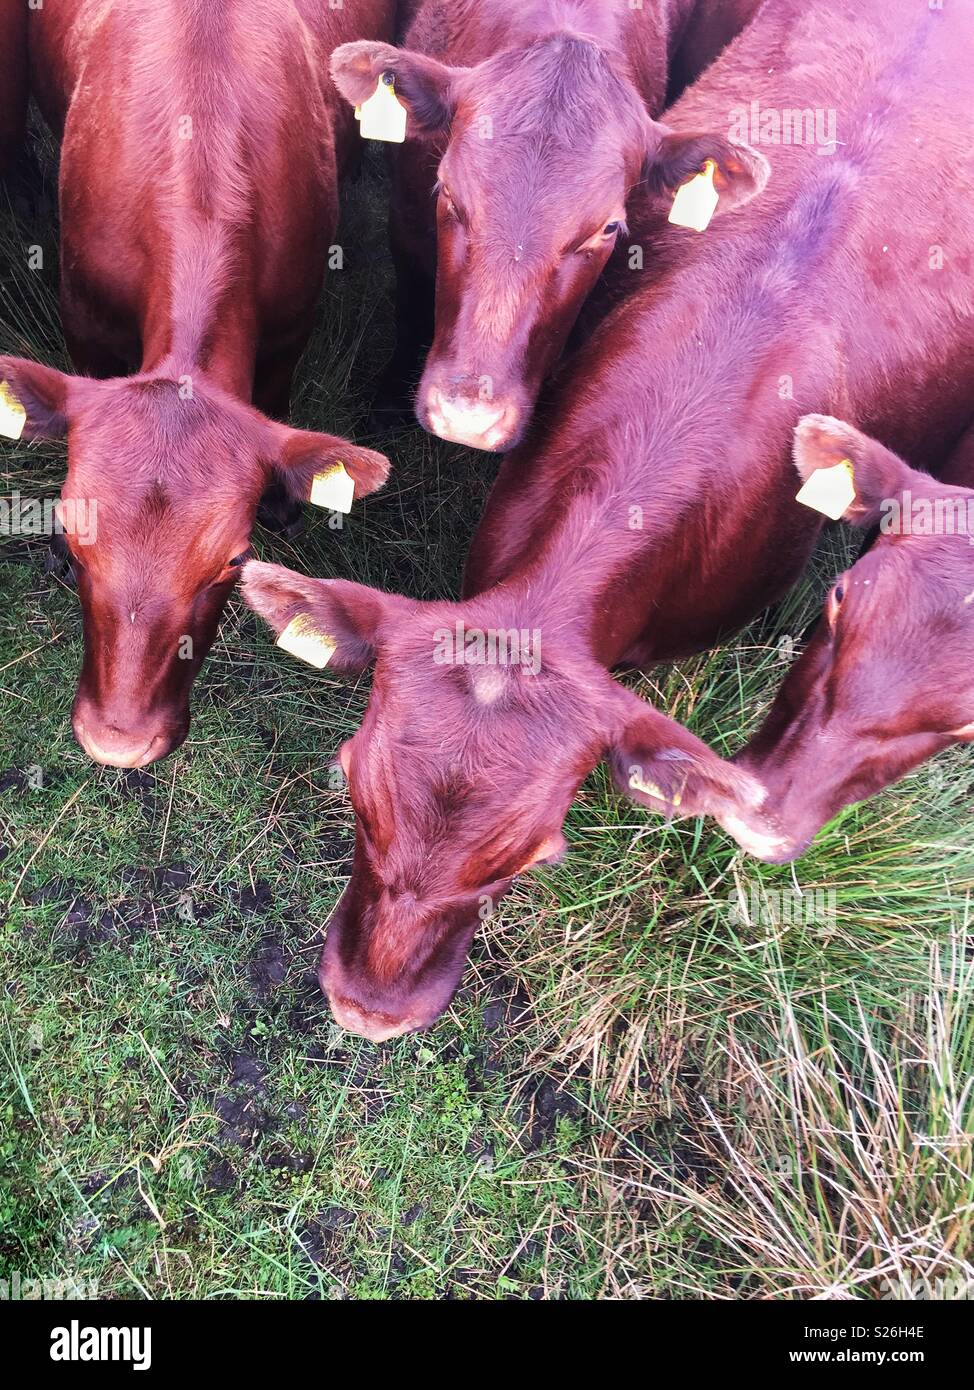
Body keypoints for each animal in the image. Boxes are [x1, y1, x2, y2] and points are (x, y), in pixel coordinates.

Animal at [0, 0, 394, 769]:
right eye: (73, 532)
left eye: (234, 560)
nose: (117, 743)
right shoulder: (84, 317)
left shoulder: (290, 327)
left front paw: (284, 503)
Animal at [330, 0, 766, 449]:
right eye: (447, 189)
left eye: (609, 228)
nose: (468, 419)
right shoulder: (406, 222)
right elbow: (410, 310)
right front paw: (386, 406)